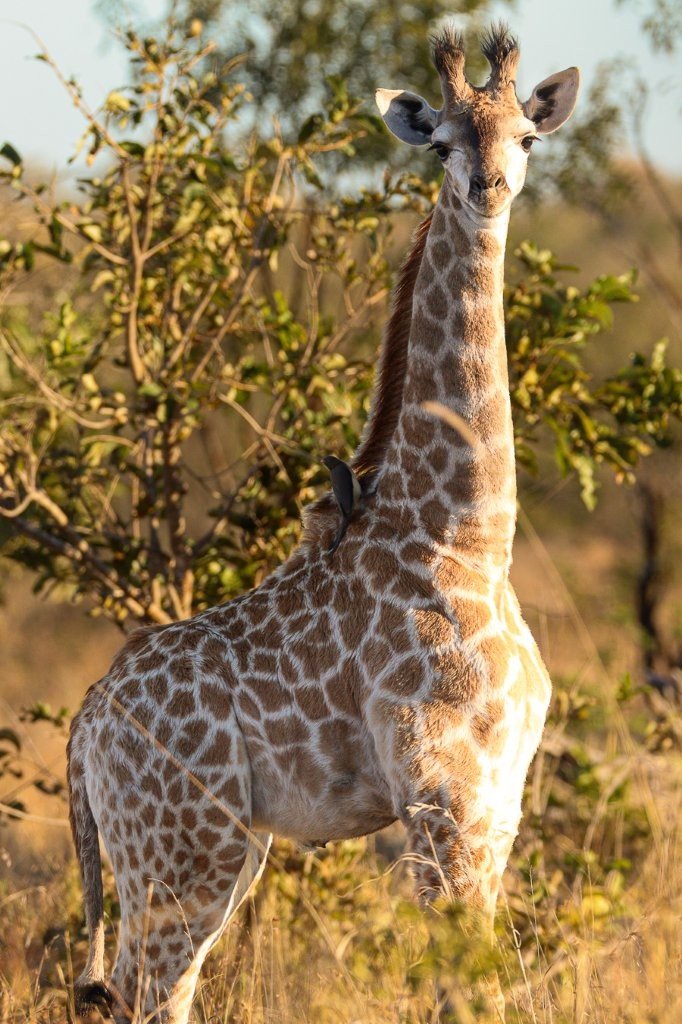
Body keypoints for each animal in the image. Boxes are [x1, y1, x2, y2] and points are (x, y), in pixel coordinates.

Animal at [67, 23, 579, 1023]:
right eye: (443, 143)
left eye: (527, 137)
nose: (489, 186)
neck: (469, 536)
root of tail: (84, 725)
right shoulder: (441, 796)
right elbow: (461, 981)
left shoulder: (501, 798)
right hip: (187, 851)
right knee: (147, 993)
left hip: (206, 855)